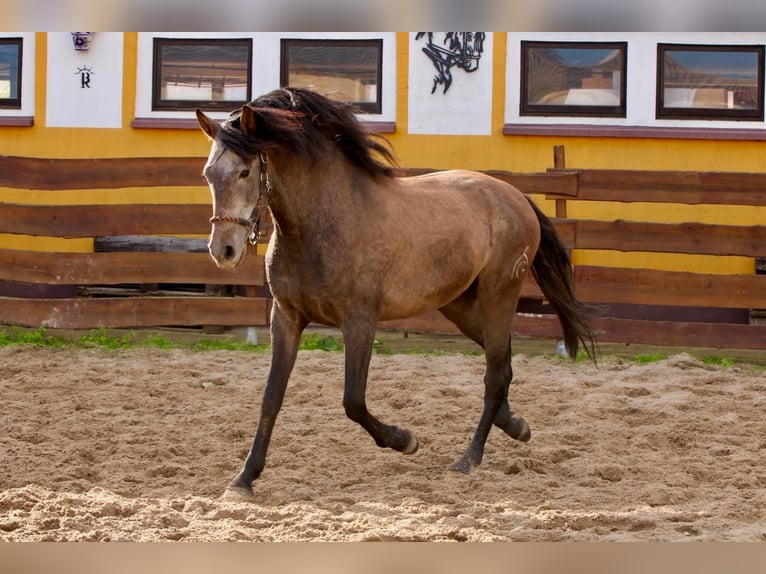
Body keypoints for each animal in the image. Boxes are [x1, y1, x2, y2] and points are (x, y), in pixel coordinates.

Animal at [196, 87, 597, 498]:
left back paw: (468, 460)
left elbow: (353, 401)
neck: (324, 223)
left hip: (498, 294)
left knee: (494, 375)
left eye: (245, 172)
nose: (223, 250)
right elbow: (271, 397)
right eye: (208, 174)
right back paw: (516, 426)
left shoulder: (359, 321)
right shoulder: (286, 318)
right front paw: (244, 479)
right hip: (459, 305)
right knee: (502, 364)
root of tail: (516, 196)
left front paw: (405, 440)